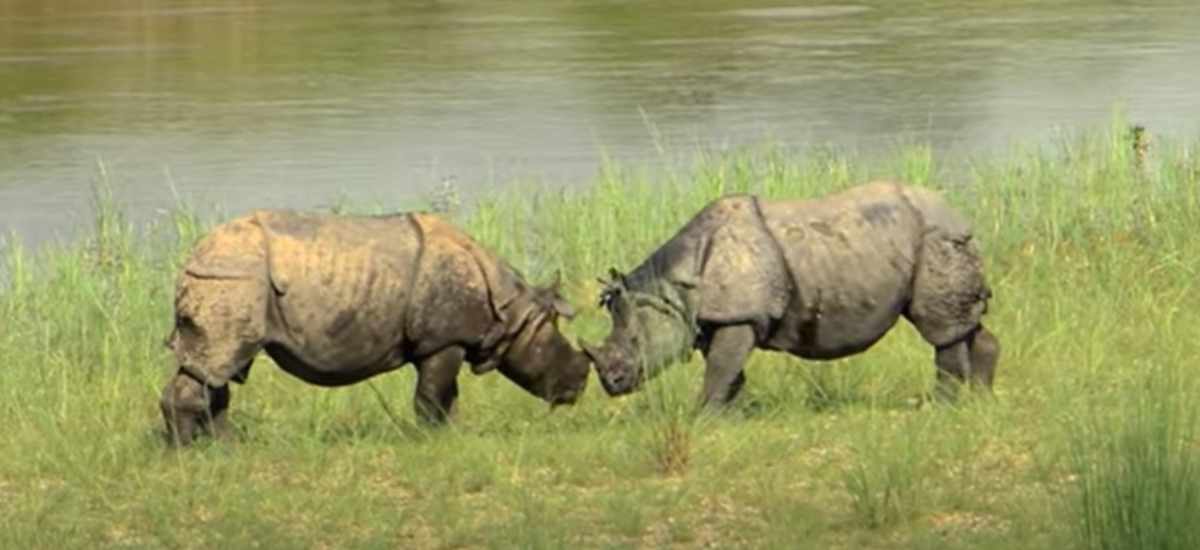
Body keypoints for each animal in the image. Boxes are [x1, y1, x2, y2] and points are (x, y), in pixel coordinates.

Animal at [159, 209, 590, 446]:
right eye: (562, 353)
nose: (579, 389)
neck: (513, 313)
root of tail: (192, 256)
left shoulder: (442, 342)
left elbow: (448, 395)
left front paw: (453, 435)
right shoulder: (443, 341)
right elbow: (432, 396)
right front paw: (430, 439)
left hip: (230, 278)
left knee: (219, 370)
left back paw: (225, 449)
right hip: (233, 279)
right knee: (218, 363)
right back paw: (187, 455)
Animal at [581, 181, 999, 406]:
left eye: (635, 341)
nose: (612, 386)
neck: (671, 290)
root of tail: (960, 216)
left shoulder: (739, 316)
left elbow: (720, 367)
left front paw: (700, 414)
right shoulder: (716, 319)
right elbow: (728, 369)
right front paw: (732, 414)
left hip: (936, 240)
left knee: (939, 330)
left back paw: (941, 405)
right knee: (963, 326)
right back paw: (979, 398)